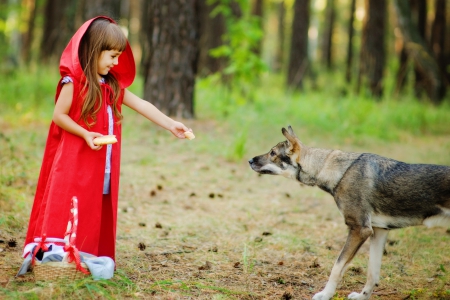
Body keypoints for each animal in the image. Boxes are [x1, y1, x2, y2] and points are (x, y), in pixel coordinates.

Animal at [248, 126, 450, 300]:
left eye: (272, 153)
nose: (249, 160)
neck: (336, 171)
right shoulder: (379, 231)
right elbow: (372, 274)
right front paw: (362, 297)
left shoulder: (359, 230)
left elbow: (337, 267)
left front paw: (325, 295)